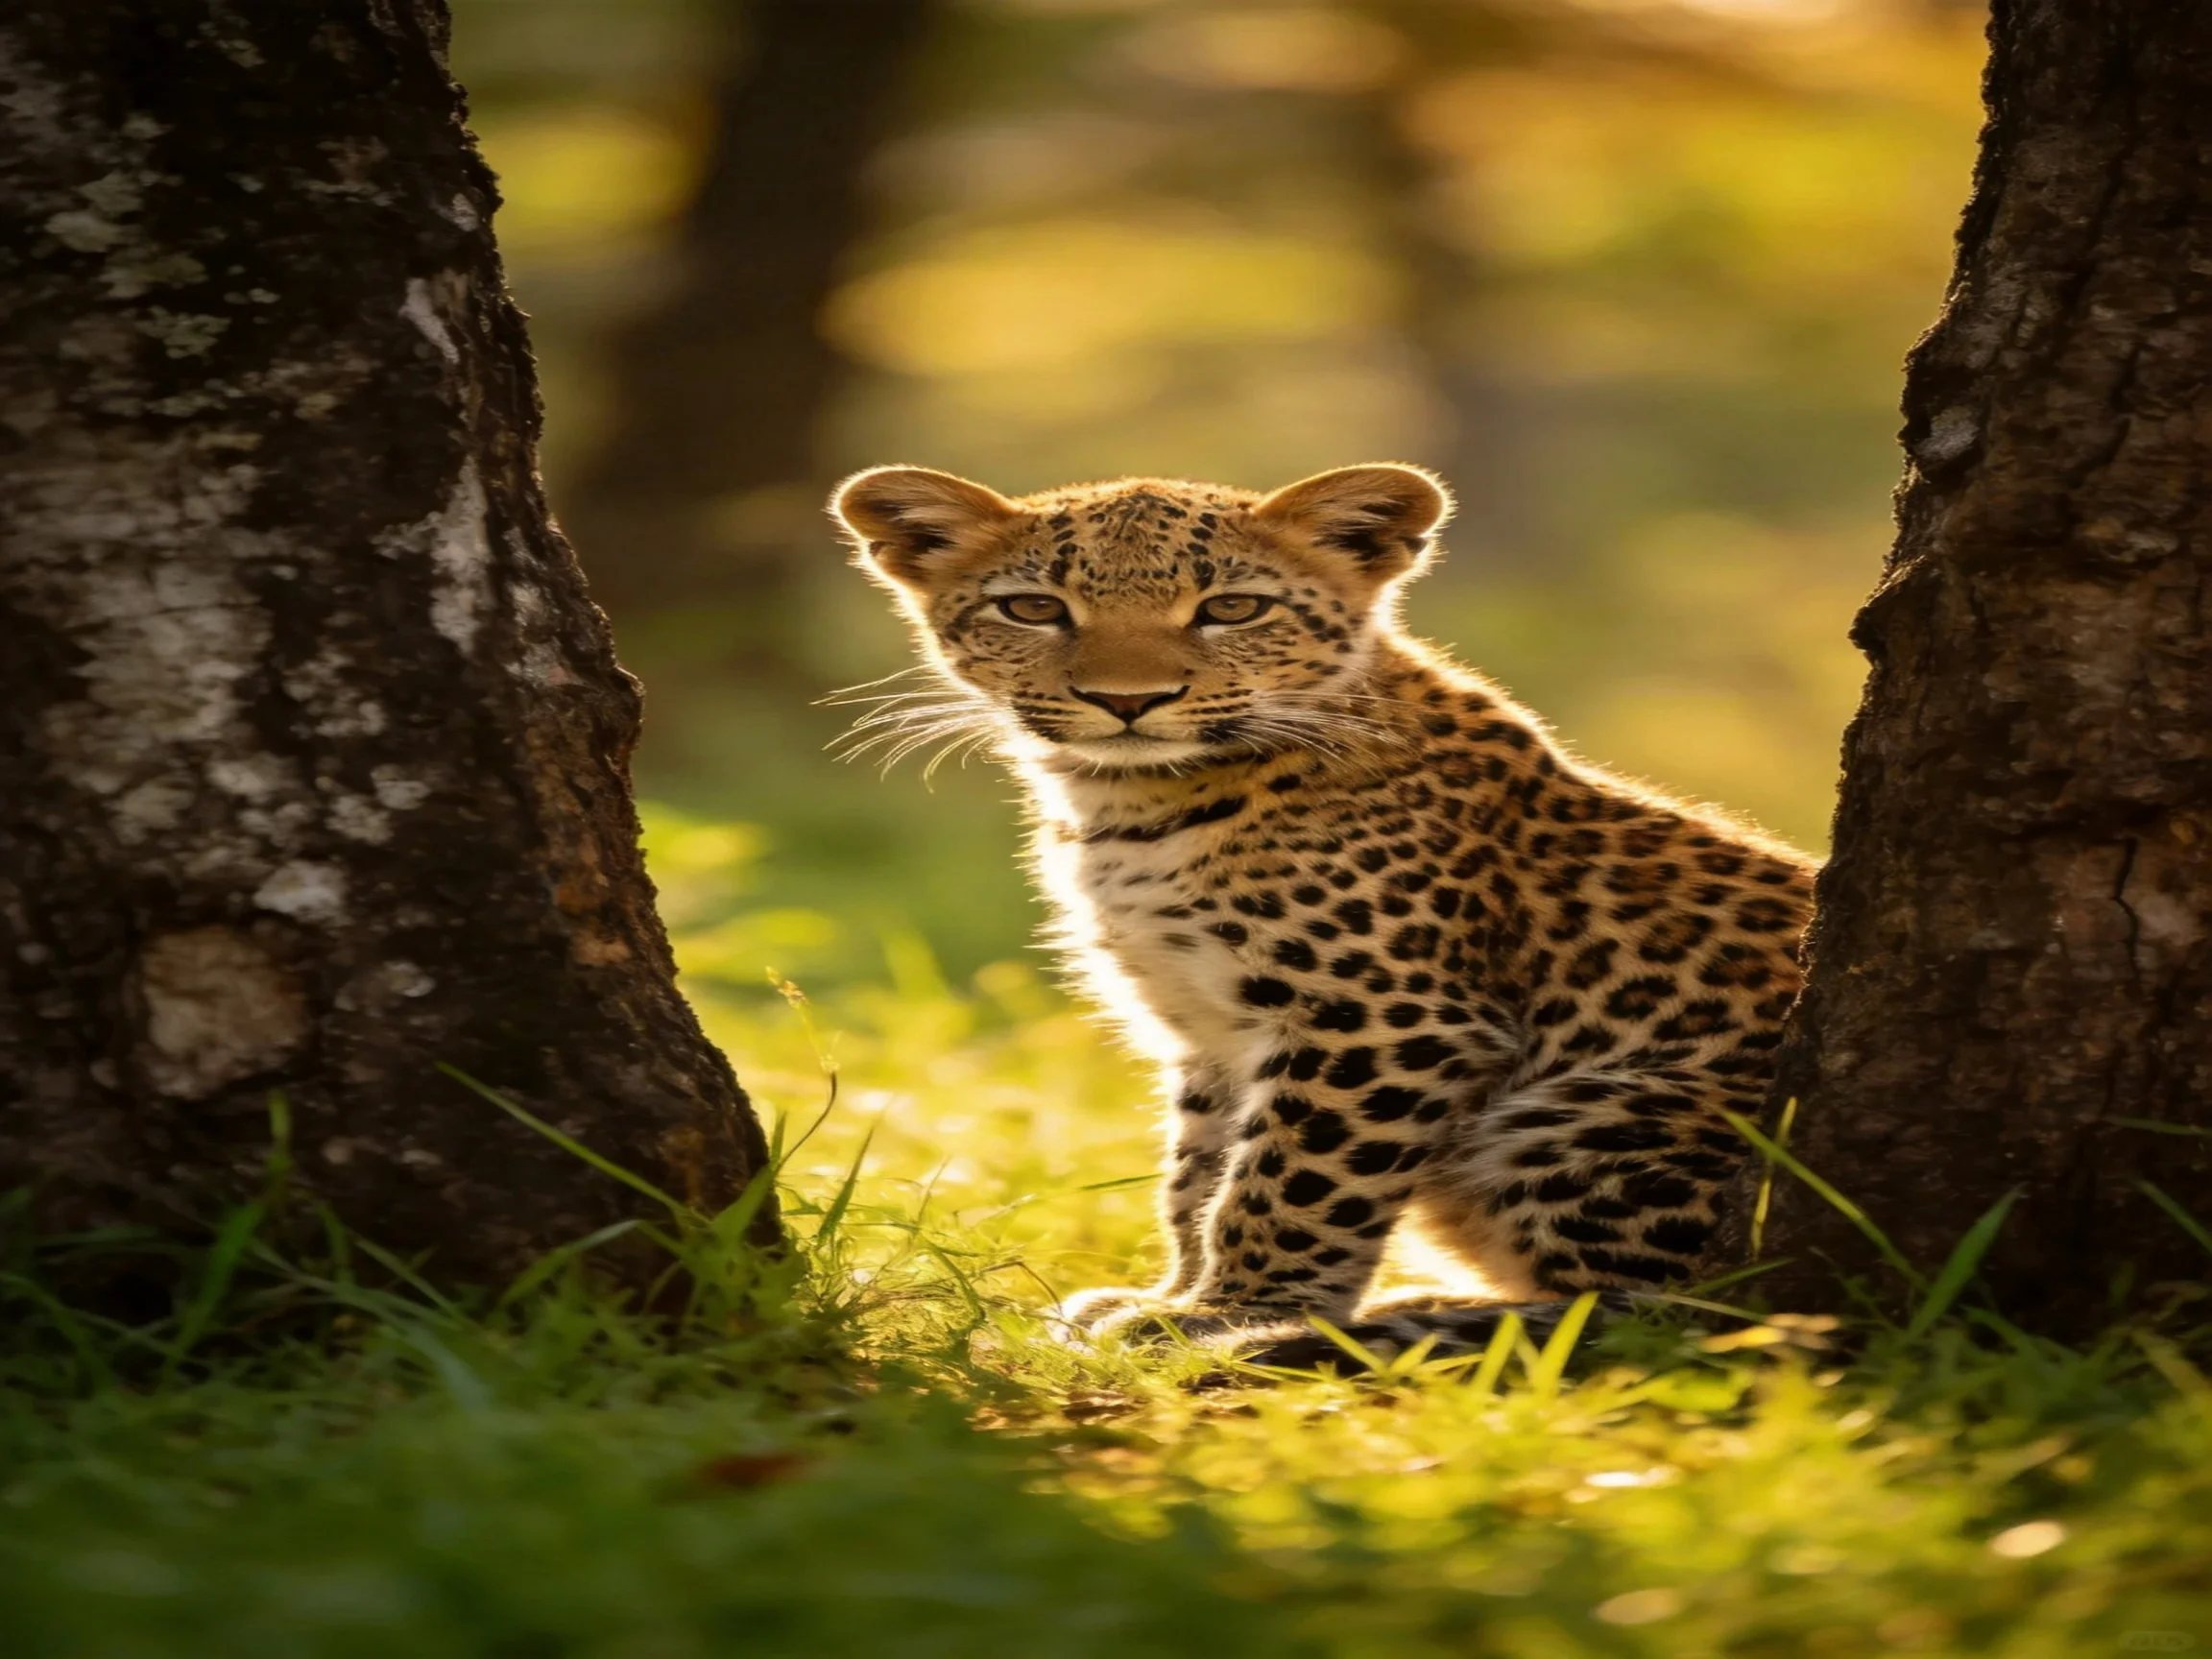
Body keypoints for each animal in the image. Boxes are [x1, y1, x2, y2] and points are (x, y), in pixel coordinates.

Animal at [830, 460, 1814, 1370]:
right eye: (1033, 608)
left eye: (1232, 608)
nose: (1127, 701)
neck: (1132, 806)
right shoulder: (1208, 1027)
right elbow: (1198, 1173)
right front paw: (1177, 1293)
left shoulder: (1383, 1019)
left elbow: (1290, 1180)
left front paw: (1230, 1314)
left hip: (1596, 1107)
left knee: (1663, 1314)